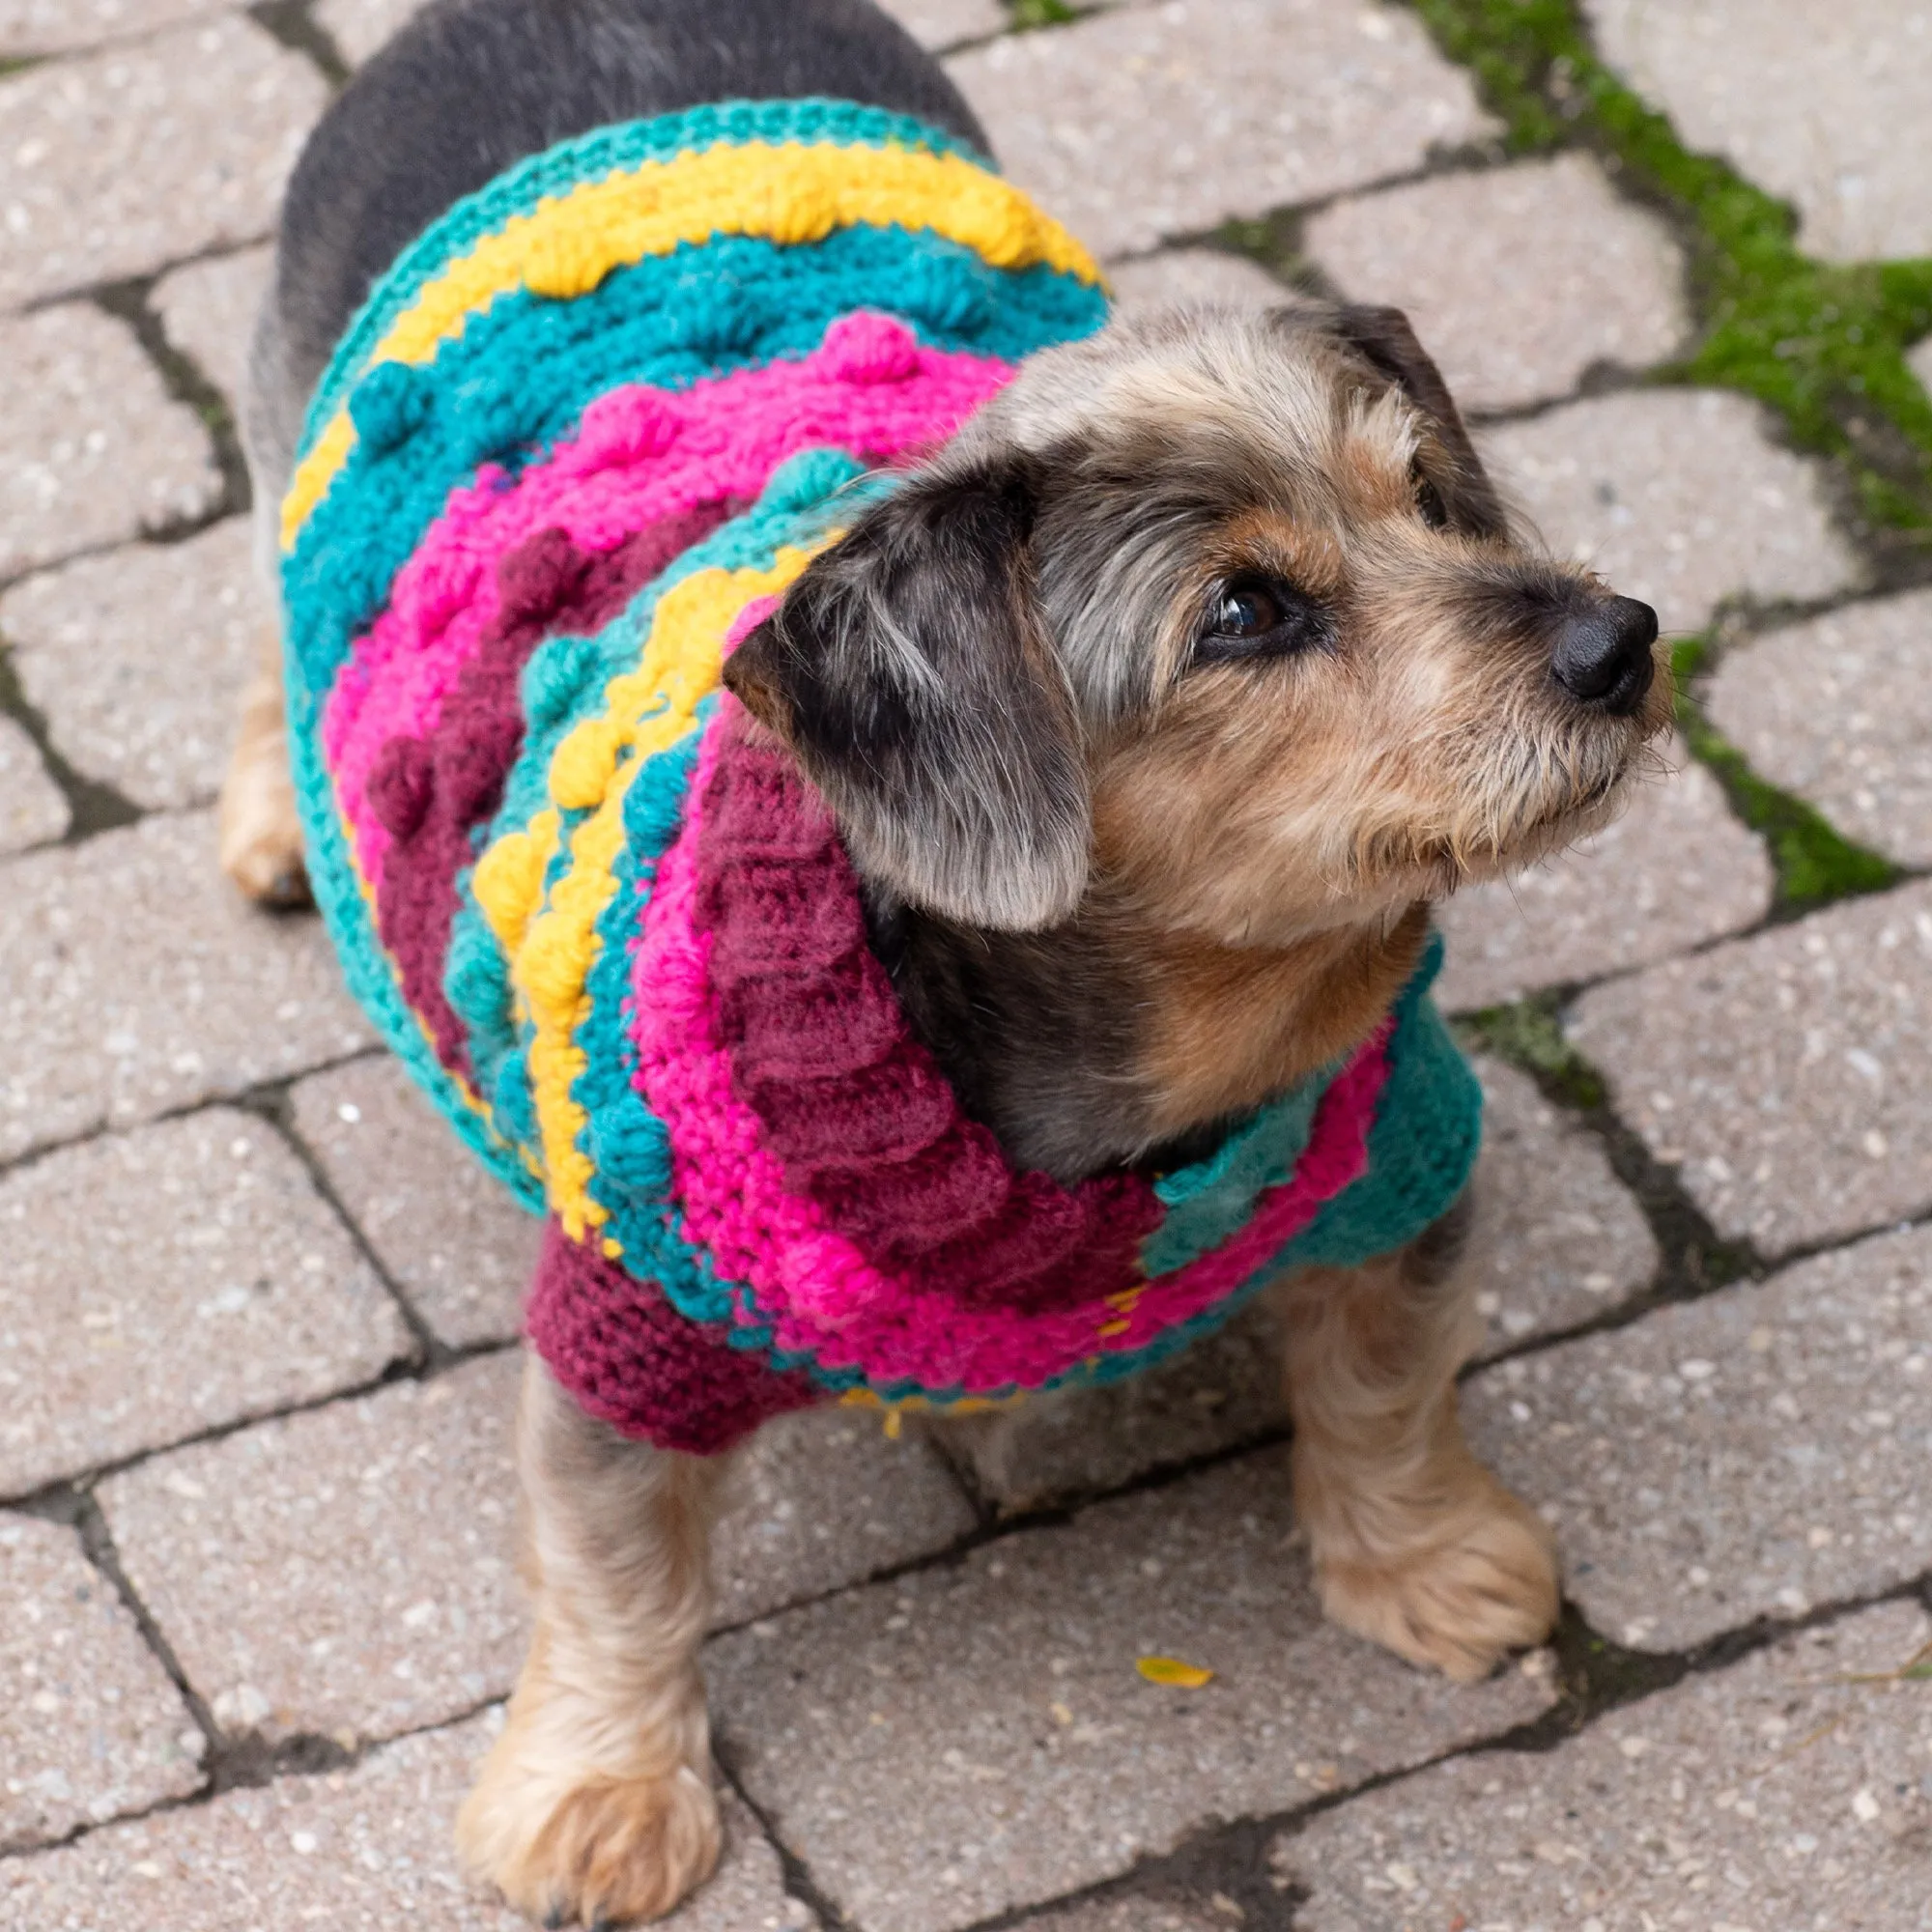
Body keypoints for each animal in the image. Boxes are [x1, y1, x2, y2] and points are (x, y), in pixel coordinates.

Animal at [222, 0, 1677, 1917]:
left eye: (1438, 496)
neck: (1163, 1073)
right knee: (266, 649)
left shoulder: (1406, 1156)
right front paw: (598, 1791)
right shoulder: (625, 1325)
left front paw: (1428, 1563)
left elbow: (1386, 1380)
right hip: (285, 467)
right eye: (1245, 612)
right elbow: (617, 1571)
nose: (1621, 638)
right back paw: (272, 811)